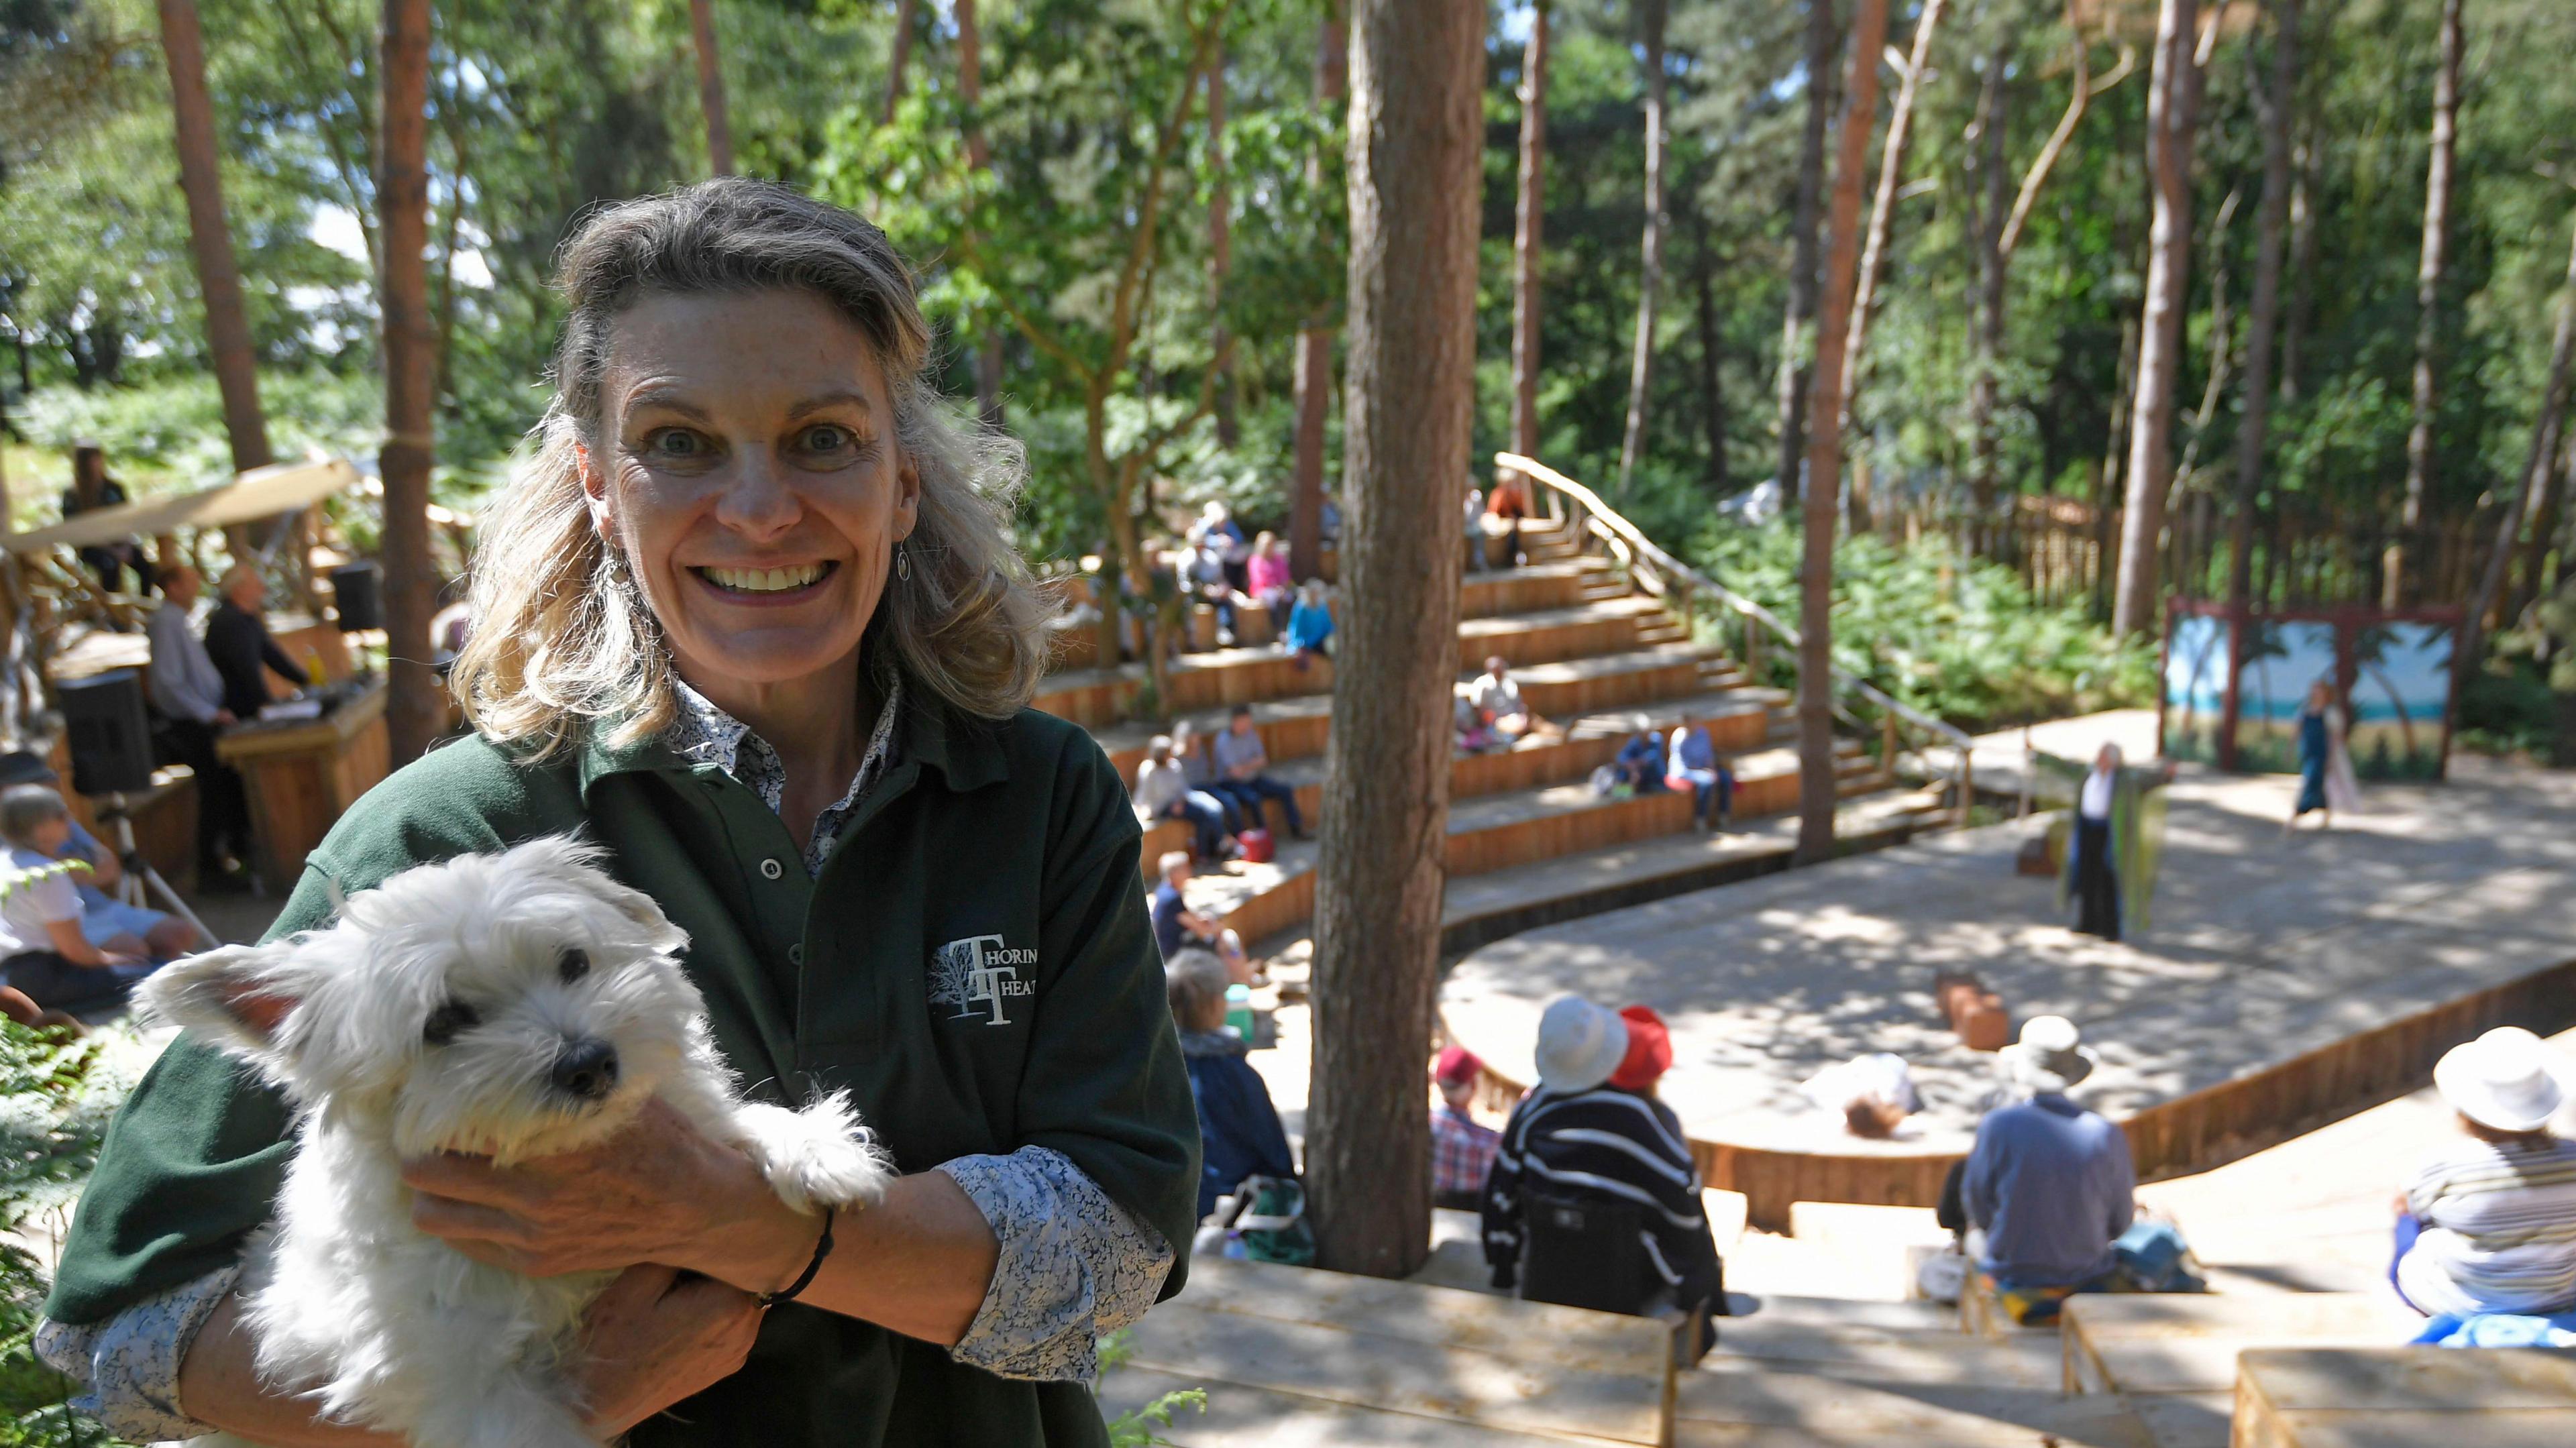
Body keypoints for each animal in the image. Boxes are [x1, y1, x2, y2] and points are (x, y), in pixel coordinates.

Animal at [150, 830, 902, 1443]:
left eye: (573, 961)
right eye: (444, 1021)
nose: (589, 1062)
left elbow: (734, 1120)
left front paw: (818, 1152)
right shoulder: (472, 1388)